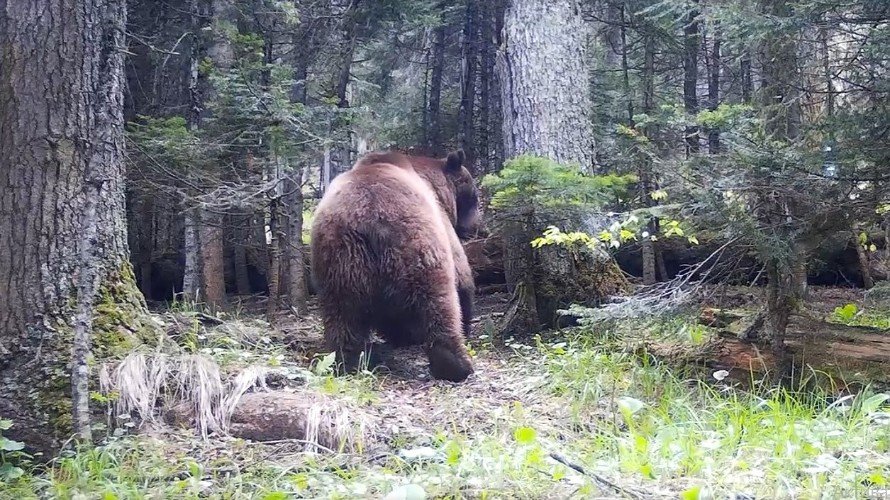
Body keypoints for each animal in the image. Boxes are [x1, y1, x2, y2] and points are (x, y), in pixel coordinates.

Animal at [309, 149, 480, 382]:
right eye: (474, 196)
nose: (475, 228)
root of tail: (368, 217)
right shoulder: (441, 222)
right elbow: (462, 274)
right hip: (418, 245)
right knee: (439, 302)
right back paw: (456, 365)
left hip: (339, 258)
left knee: (341, 312)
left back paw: (347, 361)